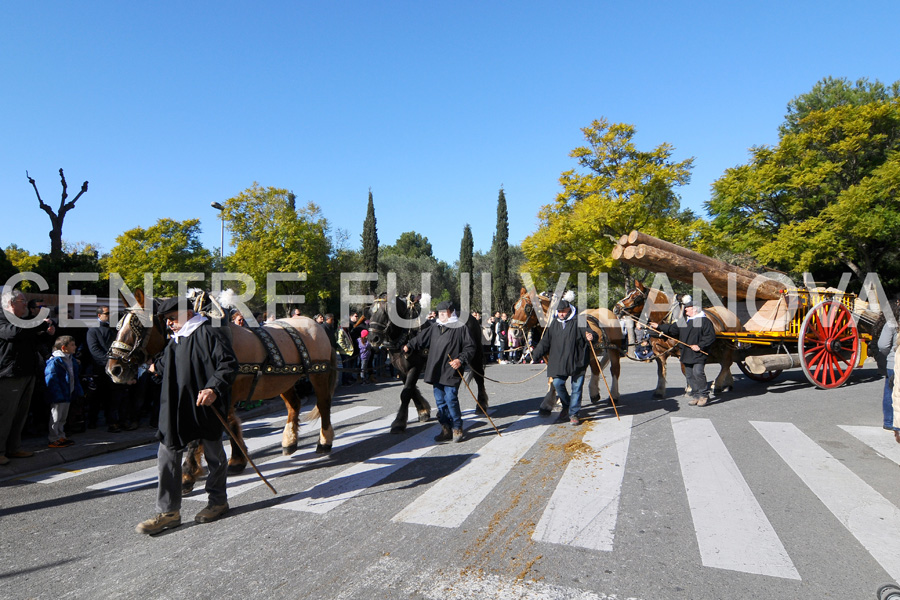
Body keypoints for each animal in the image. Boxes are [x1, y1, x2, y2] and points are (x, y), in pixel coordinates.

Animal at [105, 290, 338, 492]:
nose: (113, 369)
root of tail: (314, 325)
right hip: (283, 381)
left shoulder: (211, 394)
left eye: (137, 326)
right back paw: (289, 442)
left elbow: (202, 434)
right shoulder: (219, 395)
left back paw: (324, 442)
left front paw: (187, 475)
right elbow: (231, 425)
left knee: (323, 404)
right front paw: (237, 460)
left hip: (319, 374)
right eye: (119, 325)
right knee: (294, 405)